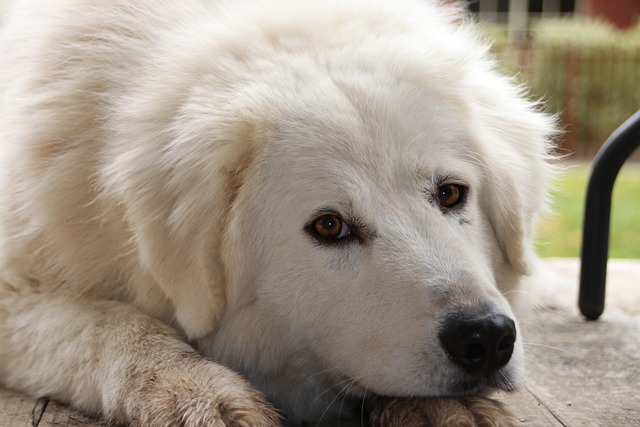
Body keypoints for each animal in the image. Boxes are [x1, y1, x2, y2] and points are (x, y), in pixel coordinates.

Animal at [0, 0, 556, 424]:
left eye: (450, 194)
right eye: (329, 226)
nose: (485, 337)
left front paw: (444, 408)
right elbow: (107, 326)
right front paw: (195, 391)